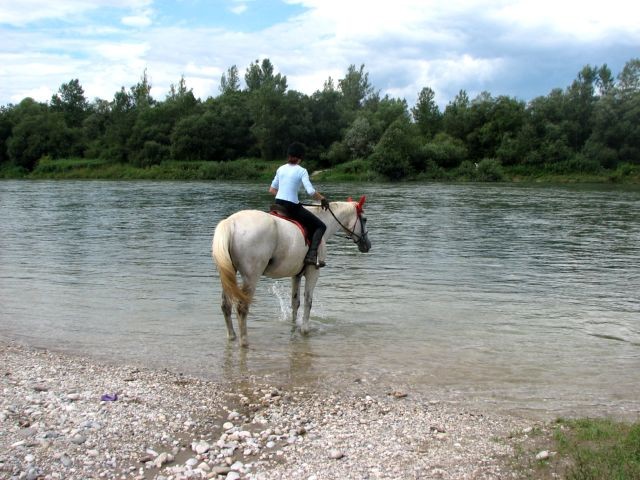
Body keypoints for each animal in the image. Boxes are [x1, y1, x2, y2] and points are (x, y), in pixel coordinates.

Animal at [212, 197, 370, 346]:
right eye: (364, 219)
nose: (367, 245)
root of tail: (231, 222)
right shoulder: (313, 272)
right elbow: (308, 301)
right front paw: (305, 330)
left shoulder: (296, 275)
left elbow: (295, 302)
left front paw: (294, 326)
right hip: (251, 277)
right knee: (242, 308)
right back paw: (244, 341)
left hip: (228, 275)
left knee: (225, 306)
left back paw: (232, 336)